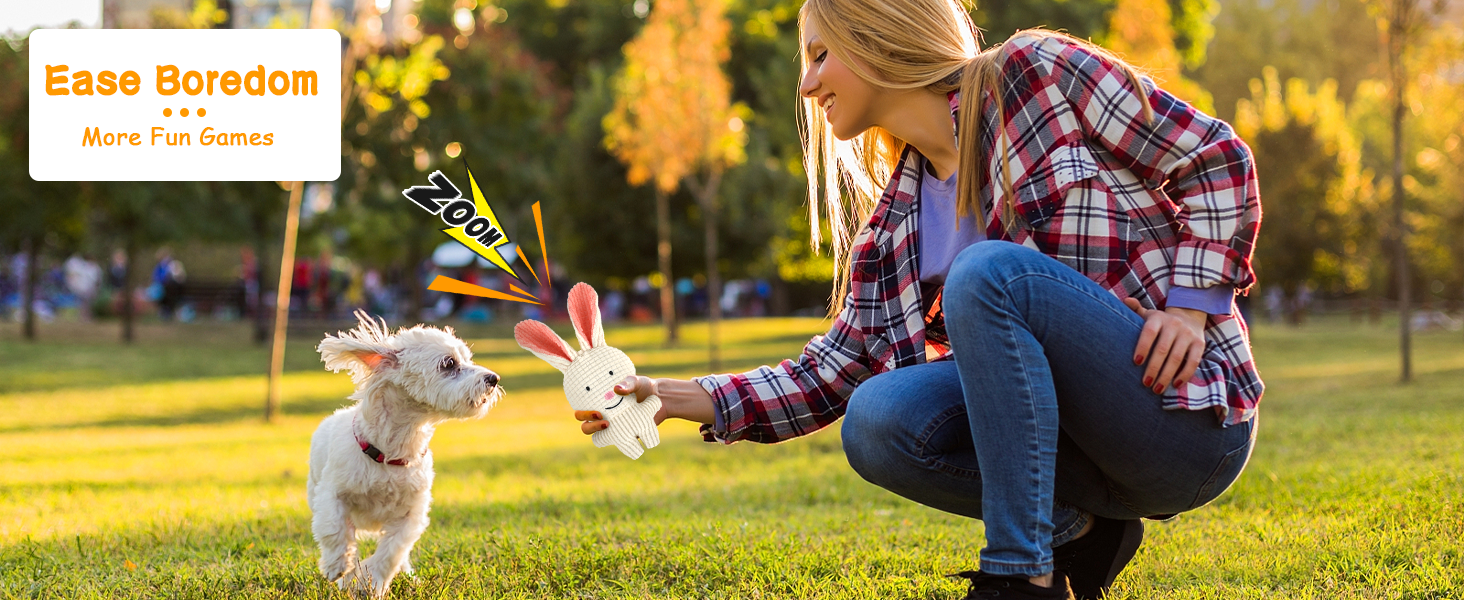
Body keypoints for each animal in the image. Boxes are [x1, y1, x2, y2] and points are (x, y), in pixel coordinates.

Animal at [305, 311, 500, 597]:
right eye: (449, 363)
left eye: (467, 358)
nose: (493, 378)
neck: (392, 451)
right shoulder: (332, 494)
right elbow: (334, 529)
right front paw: (338, 566)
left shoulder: (411, 514)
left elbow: (391, 553)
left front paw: (371, 580)